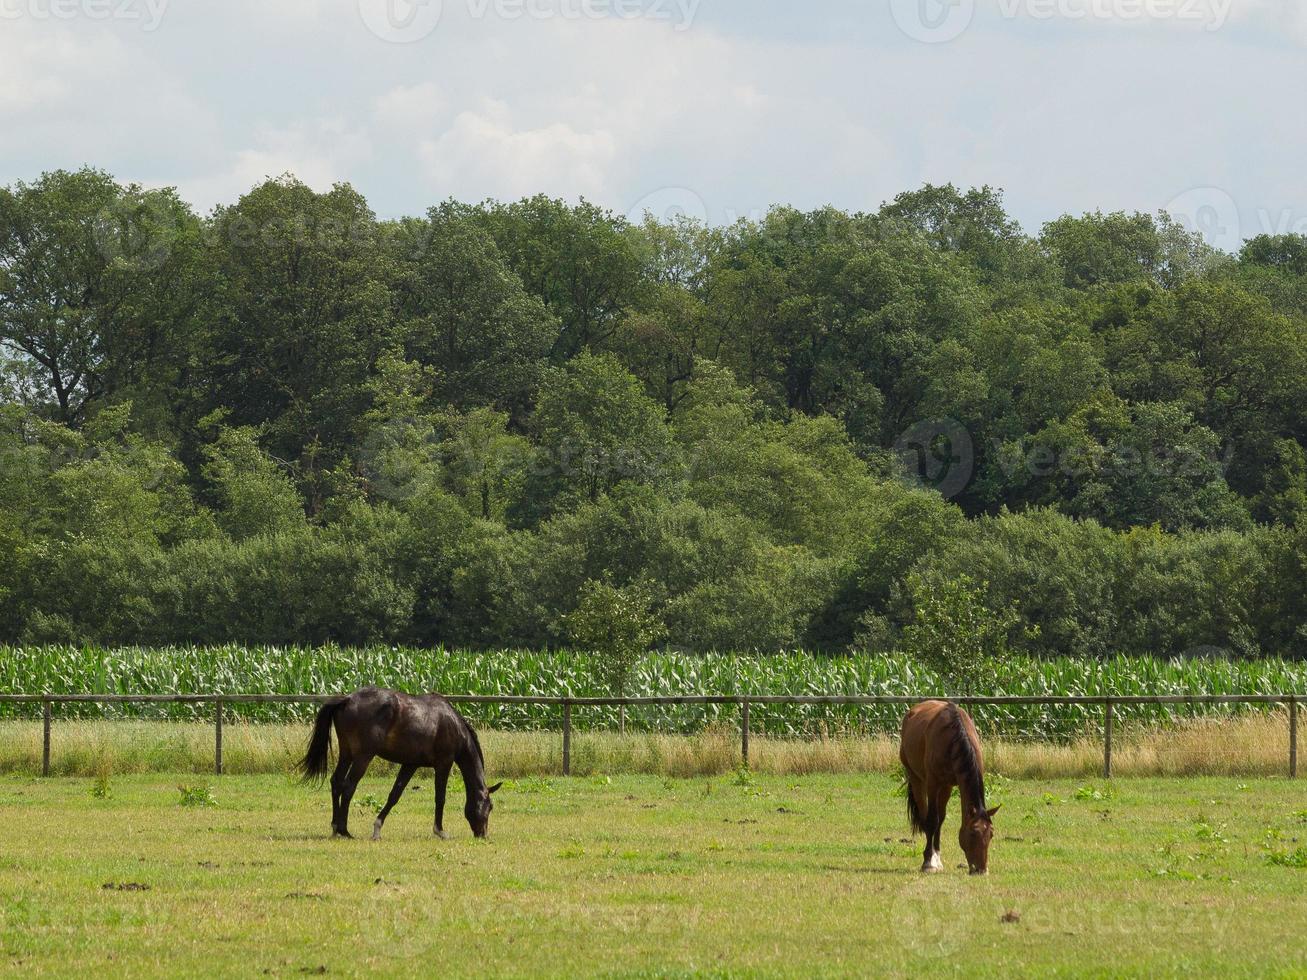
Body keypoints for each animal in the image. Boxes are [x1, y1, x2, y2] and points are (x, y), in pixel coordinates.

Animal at [299, 689, 501, 846]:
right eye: (489, 806)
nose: (483, 835)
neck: (452, 724)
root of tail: (347, 699)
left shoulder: (410, 764)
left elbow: (394, 795)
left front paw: (377, 829)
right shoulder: (443, 764)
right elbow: (440, 798)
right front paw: (440, 831)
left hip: (347, 754)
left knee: (337, 782)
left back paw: (335, 827)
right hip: (363, 756)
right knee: (349, 787)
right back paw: (344, 830)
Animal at [899, 700, 998, 878]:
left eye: (991, 834)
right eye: (973, 833)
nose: (981, 870)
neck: (953, 740)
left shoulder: (948, 785)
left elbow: (941, 820)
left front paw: (937, 858)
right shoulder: (933, 784)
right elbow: (932, 820)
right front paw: (928, 862)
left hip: (944, 787)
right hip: (916, 778)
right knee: (925, 816)